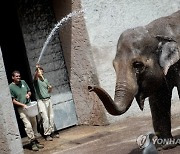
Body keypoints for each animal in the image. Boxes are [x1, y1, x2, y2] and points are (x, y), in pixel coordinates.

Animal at [88, 10, 180, 149]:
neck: (153, 31)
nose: (90, 87)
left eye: (137, 65)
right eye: (114, 65)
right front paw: (165, 146)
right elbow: (159, 99)